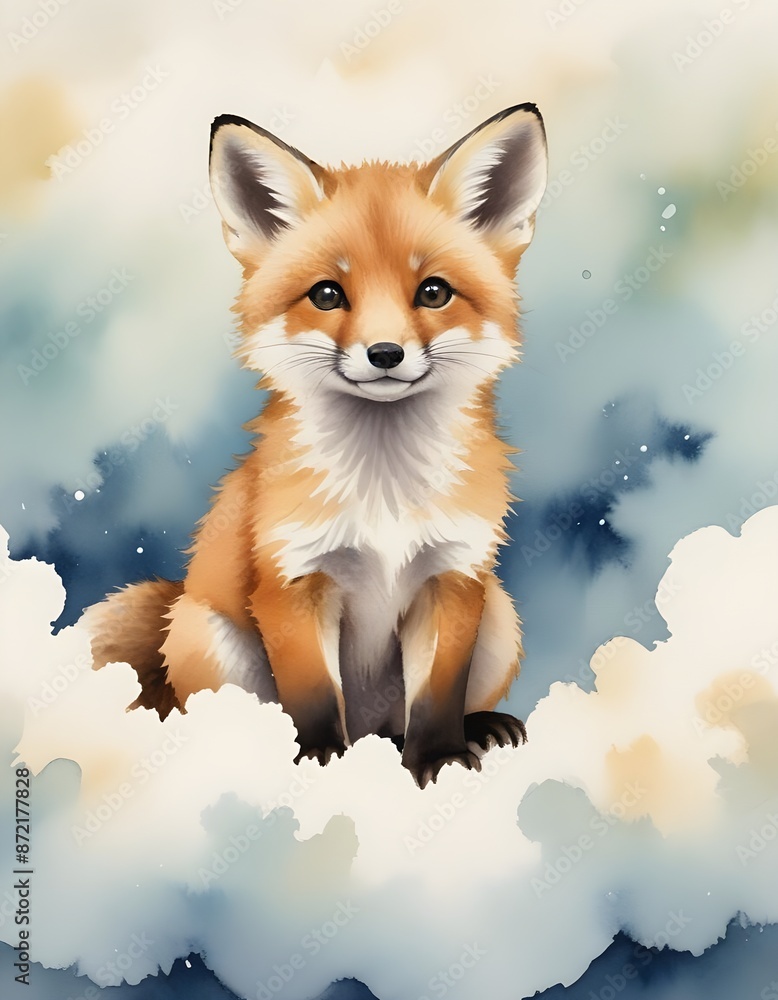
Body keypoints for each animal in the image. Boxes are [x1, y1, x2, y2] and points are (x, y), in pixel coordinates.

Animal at [83, 103, 548, 788]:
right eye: (328, 294)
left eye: (433, 291)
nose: (385, 353)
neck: (384, 491)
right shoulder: (293, 581)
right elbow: (312, 695)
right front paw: (322, 760)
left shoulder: (453, 578)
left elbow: (437, 694)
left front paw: (438, 760)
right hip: (210, 642)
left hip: (501, 619)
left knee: (416, 717)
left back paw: (475, 726)